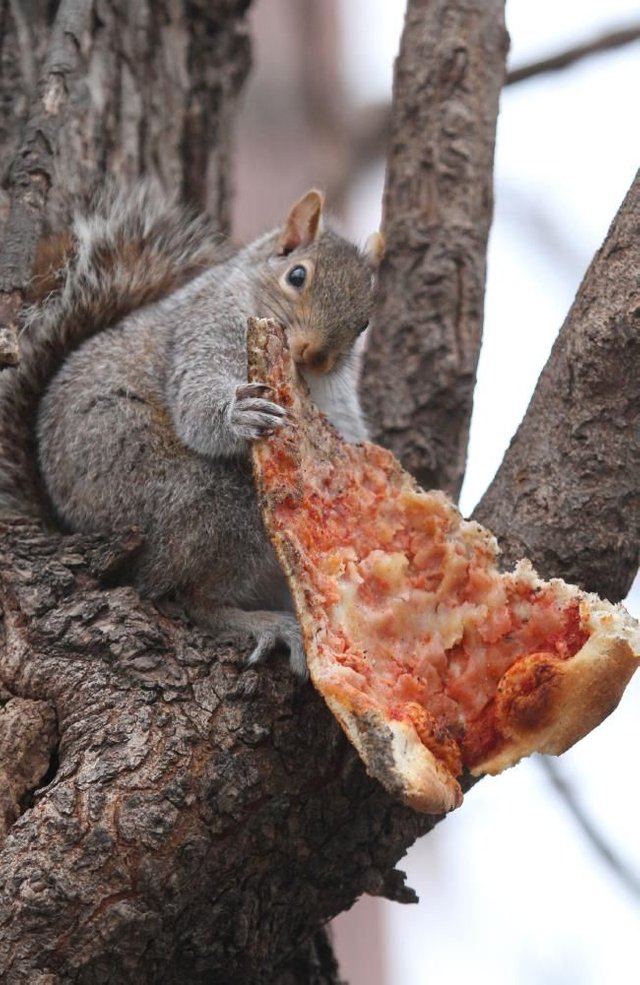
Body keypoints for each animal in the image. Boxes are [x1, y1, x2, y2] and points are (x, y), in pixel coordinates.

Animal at [0, 182, 384, 677]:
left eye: (365, 321)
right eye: (297, 276)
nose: (317, 355)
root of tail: (68, 519)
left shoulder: (334, 400)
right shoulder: (204, 329)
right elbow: (195, 405)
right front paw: (237, 415)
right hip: (188, 497)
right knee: (184, 595)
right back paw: (261, 623)